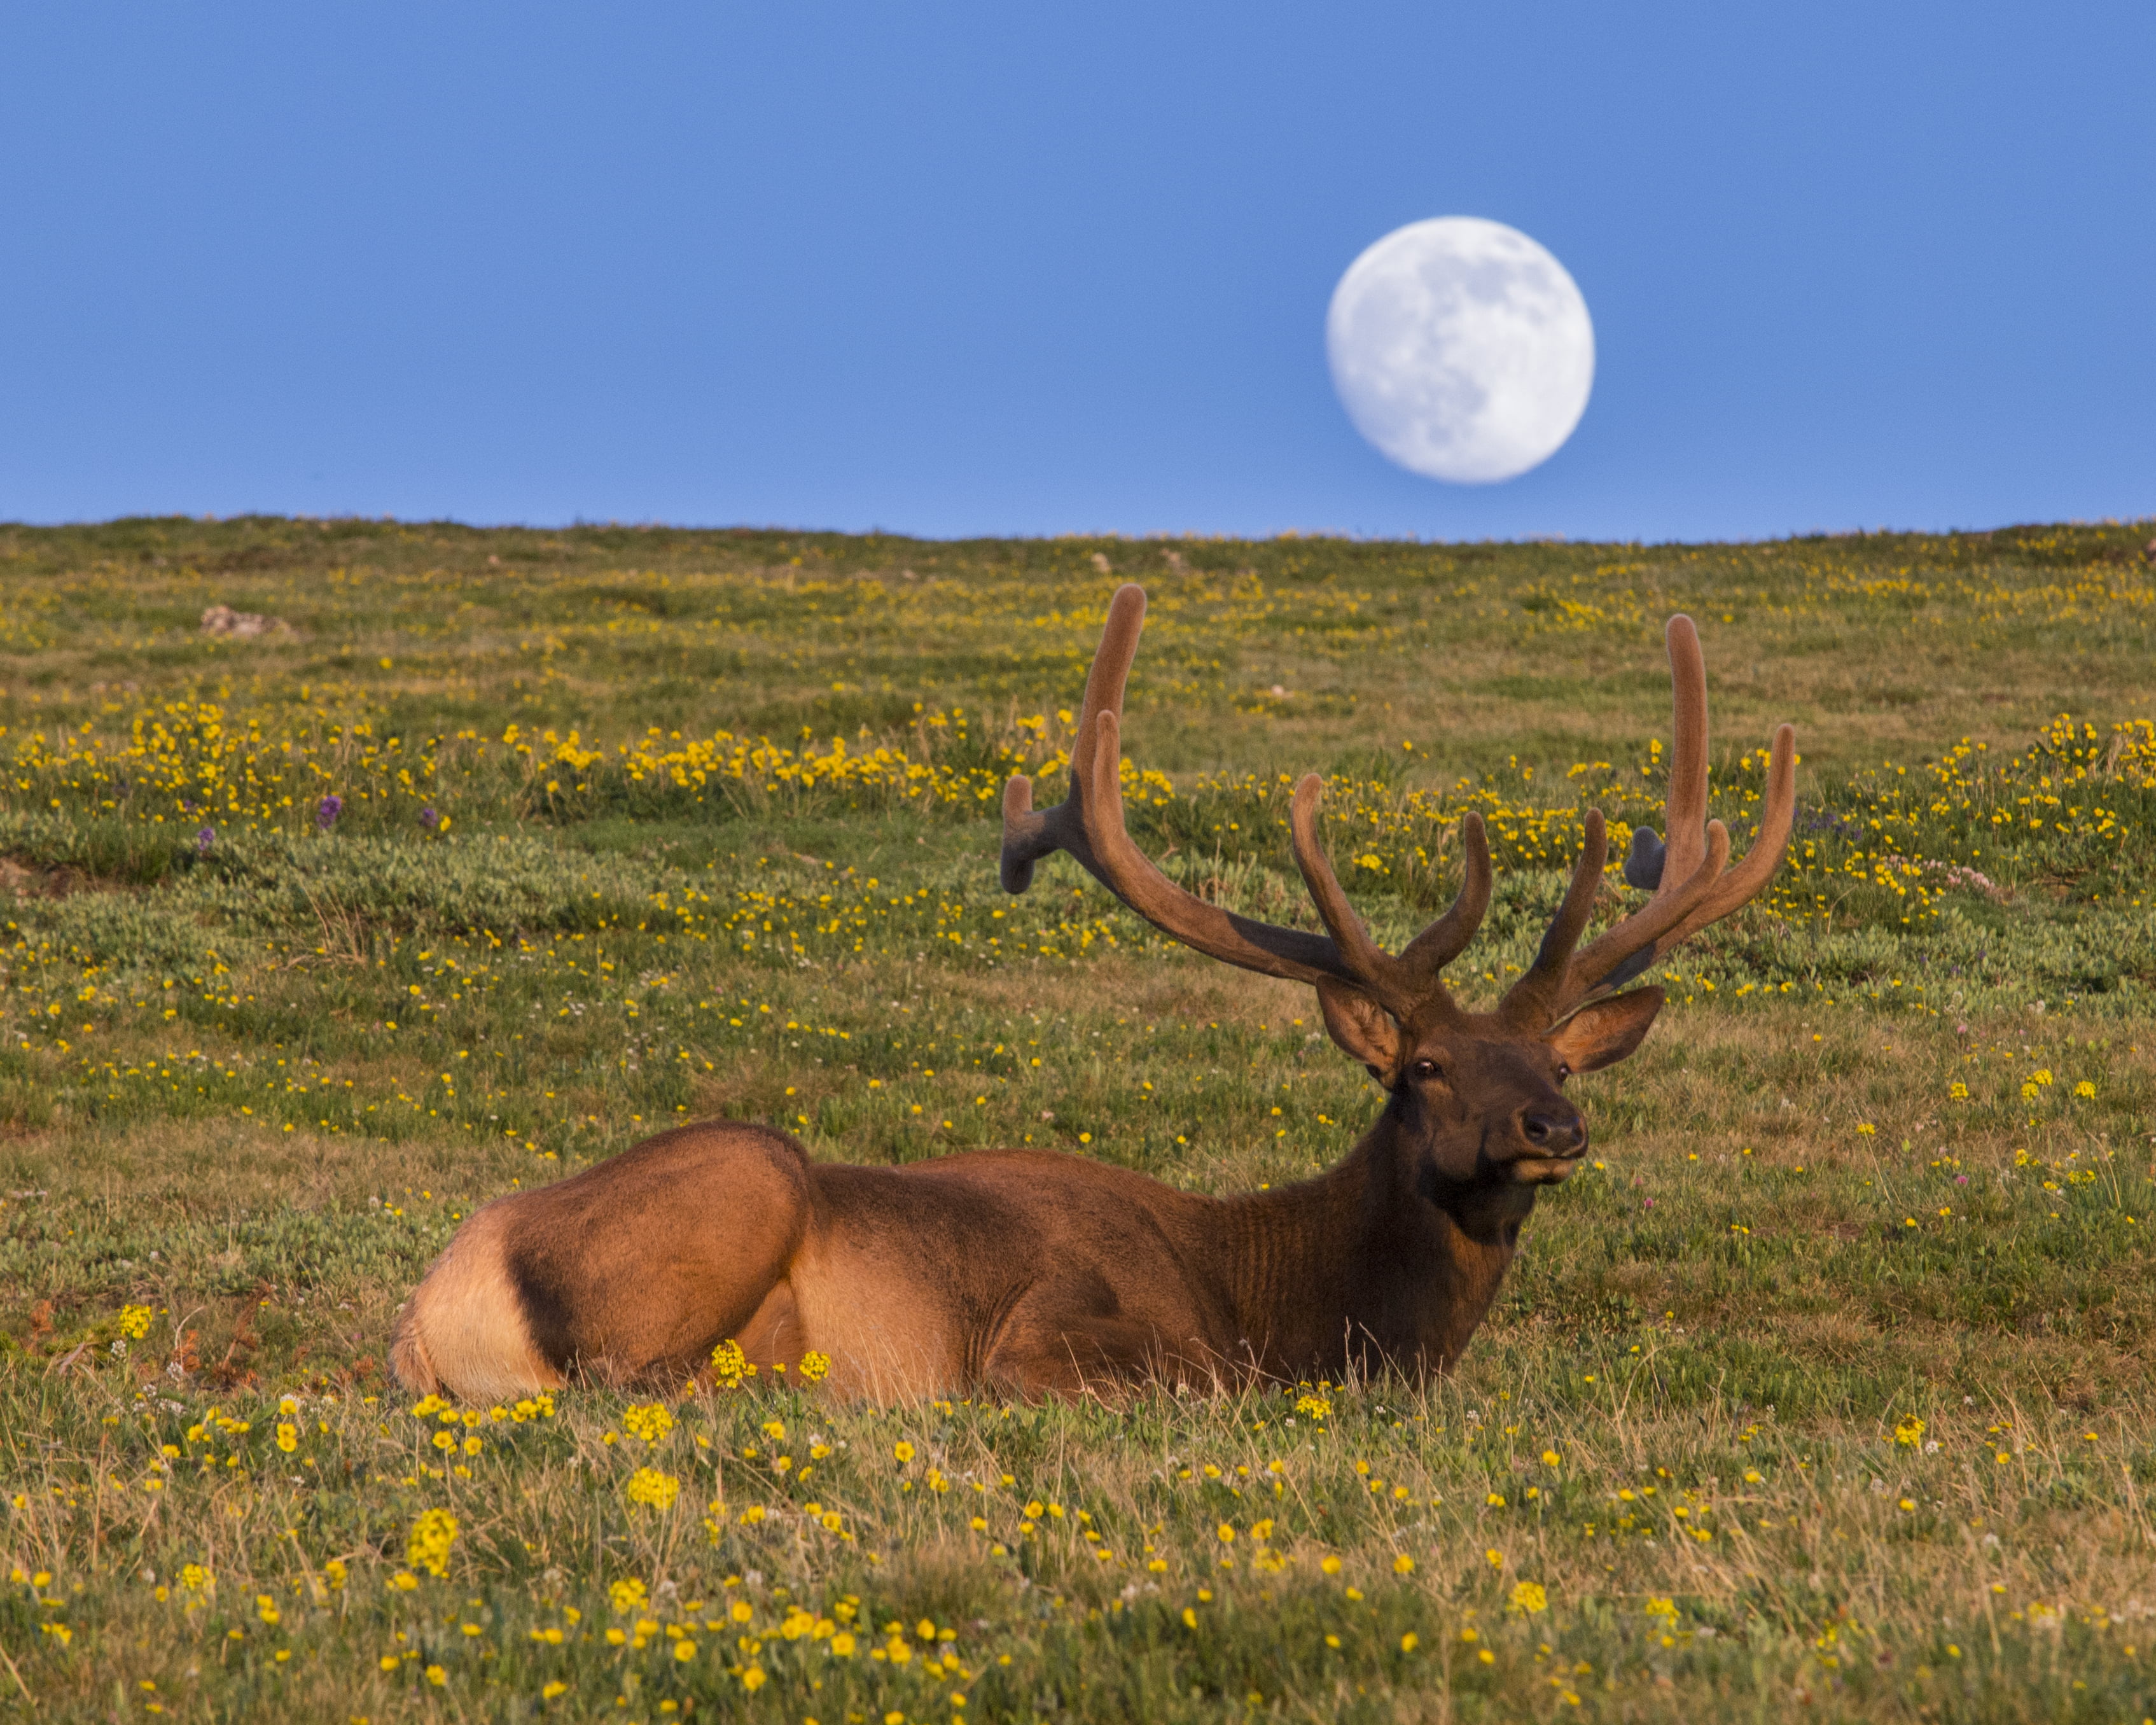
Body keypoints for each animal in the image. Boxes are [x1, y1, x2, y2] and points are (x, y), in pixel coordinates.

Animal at [392, 590, 1802, 1397]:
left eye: (1556, 1063)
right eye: (1422, 1067)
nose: (1551, 1128)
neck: (1288, 1303)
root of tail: (434, 1309)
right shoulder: (1058, 1333)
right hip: (747, 1174)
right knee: (630, 1381)